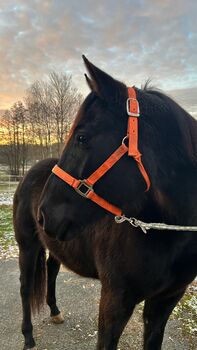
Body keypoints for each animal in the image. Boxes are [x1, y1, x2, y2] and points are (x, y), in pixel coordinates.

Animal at [13, 56, 197, 348]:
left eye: (82, 138)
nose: (44, 214)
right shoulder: (115, 301)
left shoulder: (165, 301)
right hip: (28, 246)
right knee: (25, 287)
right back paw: (28, 336)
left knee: (52, 270)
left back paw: (54, 312)